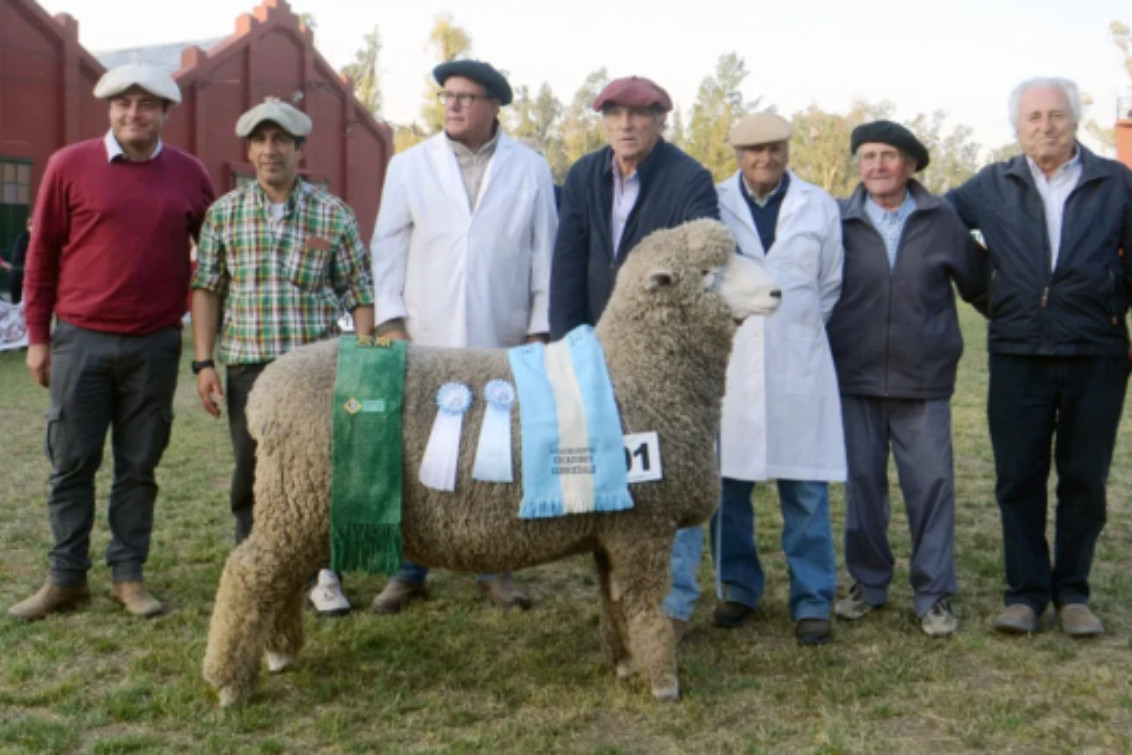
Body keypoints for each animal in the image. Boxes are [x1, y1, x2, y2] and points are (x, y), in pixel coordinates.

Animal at [203, 218, 783, 710]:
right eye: (710, 273)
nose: (778, 291)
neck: (638, 372)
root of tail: (265, 392)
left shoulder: (612, 526)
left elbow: (613, 600)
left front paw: (623, 664)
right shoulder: (644, 525)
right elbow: (641, 604)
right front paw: (663, 681)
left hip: (303, 506)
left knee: (278, 578)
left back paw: (280, 652)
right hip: (299, 500)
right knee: (249, 573)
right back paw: (229, 682)